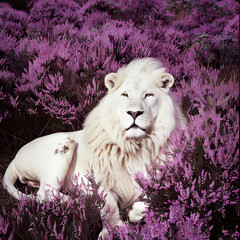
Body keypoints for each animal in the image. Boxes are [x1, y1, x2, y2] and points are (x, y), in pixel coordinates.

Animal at [2, 57, 186, 238]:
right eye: (125, 94)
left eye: (148, 95)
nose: (134, 113)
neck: (135, 146)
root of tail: (15, 157)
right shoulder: (104, 180)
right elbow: (109, 206)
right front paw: (112, 229)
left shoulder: (166, 176)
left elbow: (156, 194)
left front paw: (135, 212)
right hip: (63, 148)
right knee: (45, 192)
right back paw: (78, 201)